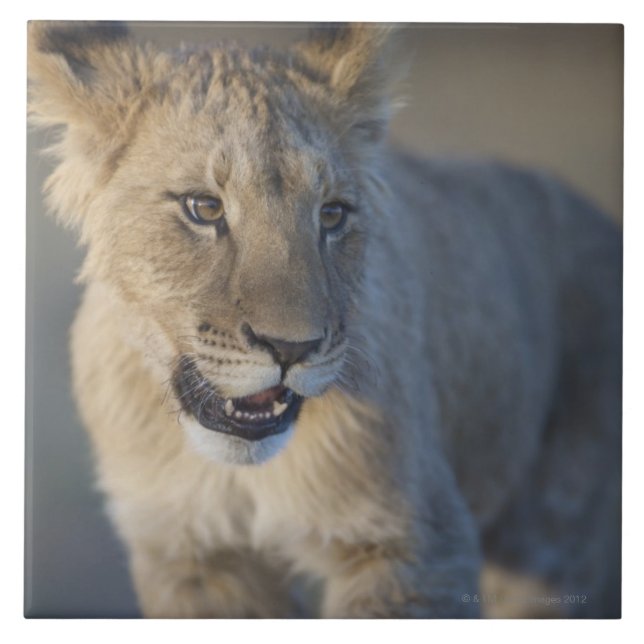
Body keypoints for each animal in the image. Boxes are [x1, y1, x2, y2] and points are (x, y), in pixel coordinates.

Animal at [28, 22, 622, 618]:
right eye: (204, 208)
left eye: (332, 214)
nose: (291, 349)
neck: (239, 475)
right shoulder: (188, 553)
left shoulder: (418, 545)